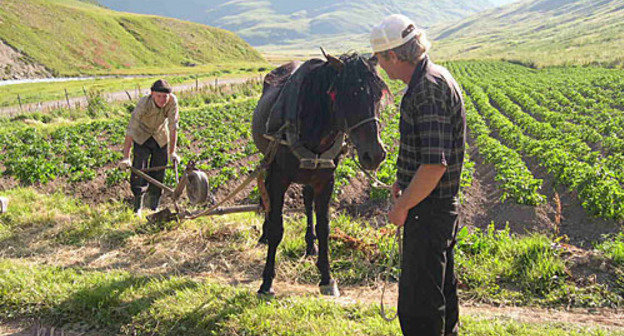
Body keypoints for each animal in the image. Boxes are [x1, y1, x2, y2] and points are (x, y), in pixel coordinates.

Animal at [251, 51, 388, 296]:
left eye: (378, 94)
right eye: (349, 94)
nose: (375, 154)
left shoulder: (326, 180)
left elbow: (324, 227)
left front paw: (326, 277)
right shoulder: (279, 178)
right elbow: (277, 227)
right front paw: (266, 282)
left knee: (307, 201)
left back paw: (310, 244)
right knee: (266, 196)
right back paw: (264, 235)